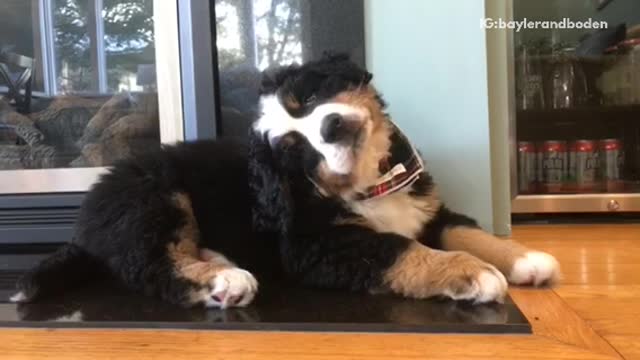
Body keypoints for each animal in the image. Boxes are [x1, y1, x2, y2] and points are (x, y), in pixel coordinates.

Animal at [11, 54, 560, 310]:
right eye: (295, 150)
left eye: (308, 100)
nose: (331, 127)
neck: (368, 186)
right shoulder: (318, 246)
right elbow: (403, 249)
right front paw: (471, 273)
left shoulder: (428, 208)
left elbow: (466, 230)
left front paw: (525, 260)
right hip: (156, 197)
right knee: (151, 266)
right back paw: (223, 281)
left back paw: (220, 262)